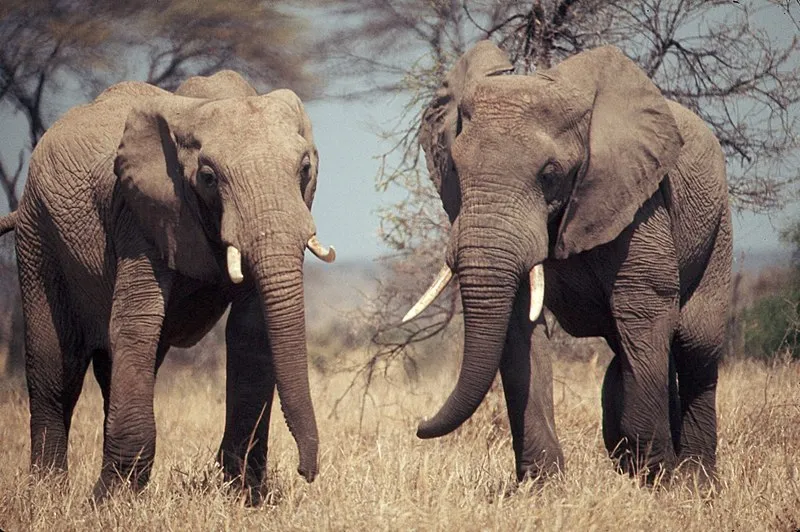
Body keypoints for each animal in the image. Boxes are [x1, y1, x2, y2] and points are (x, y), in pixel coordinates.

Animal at [3, 70, 334, 502]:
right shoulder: (139, 212)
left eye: (304, 168)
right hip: (36, 234)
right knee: (56, 365)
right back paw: (48, 493)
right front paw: (109, 502)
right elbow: (137, 322)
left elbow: (251, 331)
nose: (306, 472)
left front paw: (245, 496)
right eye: (208, 178)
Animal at [404, 39, 736, 484]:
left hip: (717, 222)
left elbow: (643, 306)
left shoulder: (638, 198)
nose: (419, 423)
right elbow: (519, 329)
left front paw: (657, 483)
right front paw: (542, 486)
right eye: (455, 167)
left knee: (694, 341)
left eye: (549, 174)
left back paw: (695, 481)